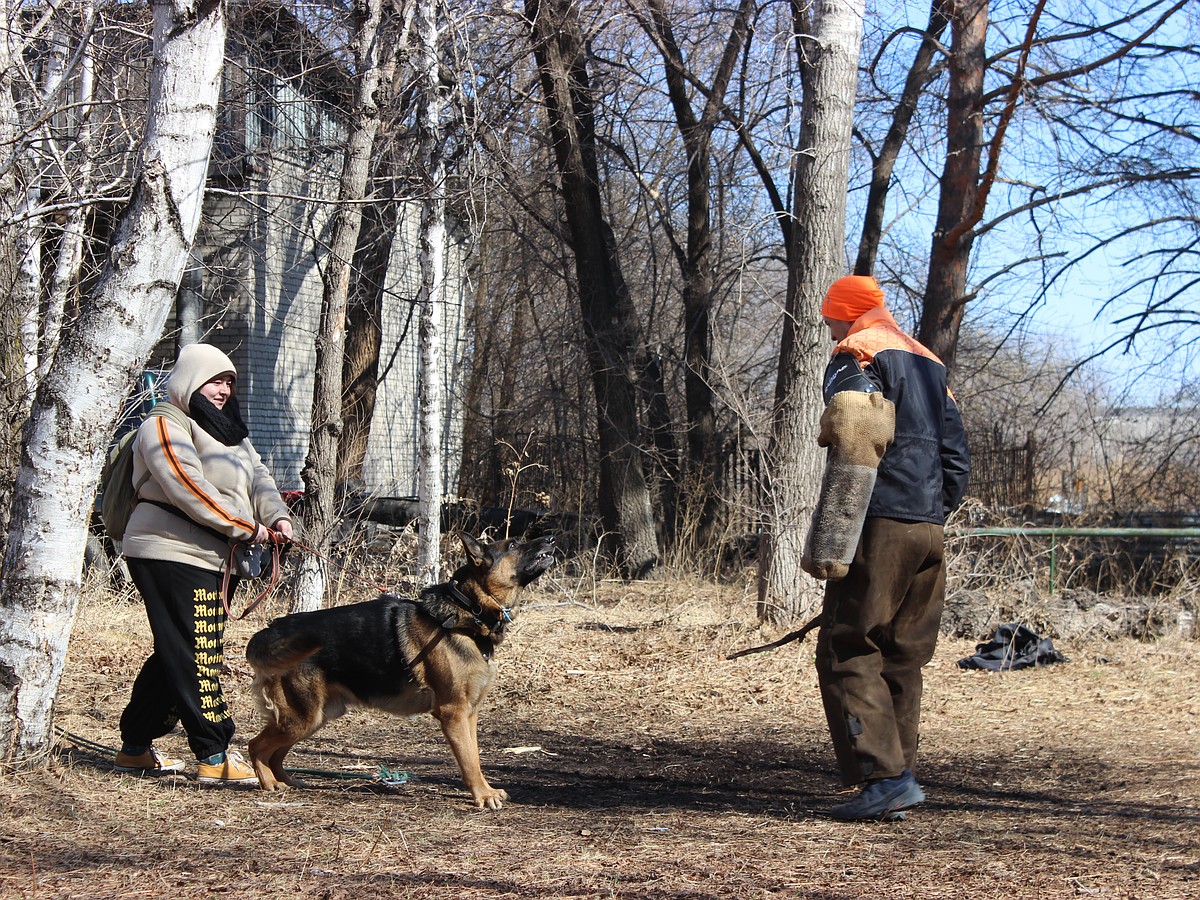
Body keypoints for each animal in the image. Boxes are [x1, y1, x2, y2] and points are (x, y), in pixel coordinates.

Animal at [247, 535, 561, 811]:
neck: (468, 609)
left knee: (276, 752)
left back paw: (287, 780)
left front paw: (485, 790)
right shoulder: (454, 713)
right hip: (302, 718)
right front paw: (483, 796)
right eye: (514, 545)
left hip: (313, 718)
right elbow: (469, 760)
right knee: (256, 746)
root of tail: (270, 631)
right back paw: (269, 784)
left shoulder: (470, 713)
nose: (551, 539)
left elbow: (475, 755)